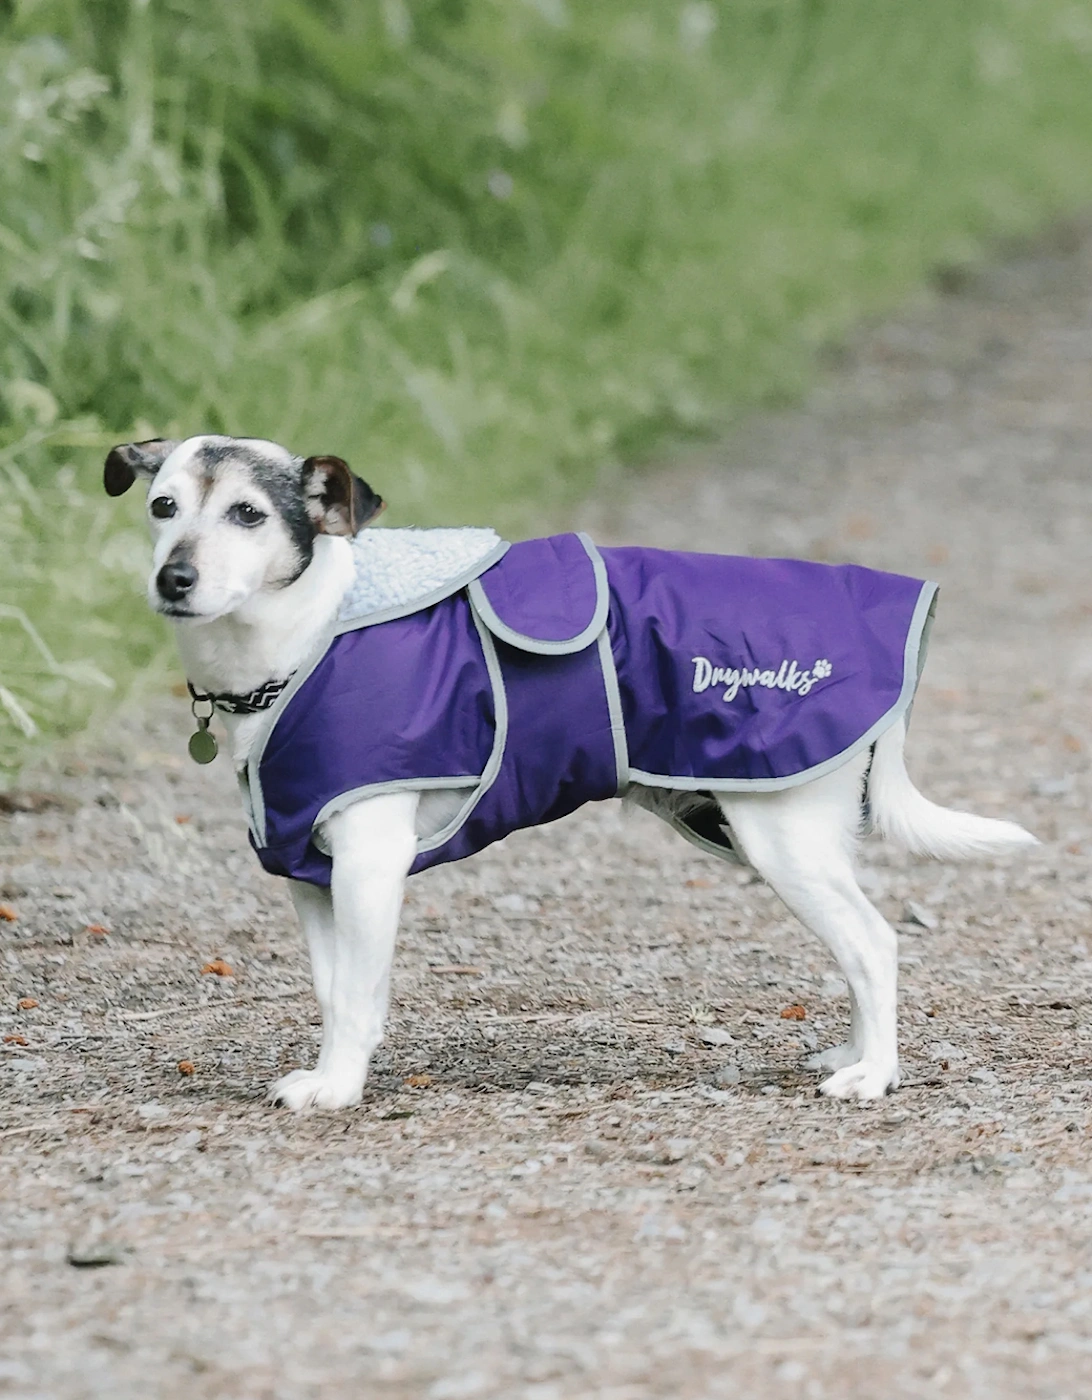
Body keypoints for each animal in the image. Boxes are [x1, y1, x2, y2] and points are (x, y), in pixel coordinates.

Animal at [104, 431, 1041, 1108]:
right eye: (162, 506)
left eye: (249, 515)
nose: (174, 577)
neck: (308, 638)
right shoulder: (312, 876)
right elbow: (335, 993)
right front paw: (331, 1072)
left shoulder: (369, 864)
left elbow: (360, 998)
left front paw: (339, 1087)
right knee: (854, 949)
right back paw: (855, 1049)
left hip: (785, 841)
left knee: (874, 944)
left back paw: (873, 1074)